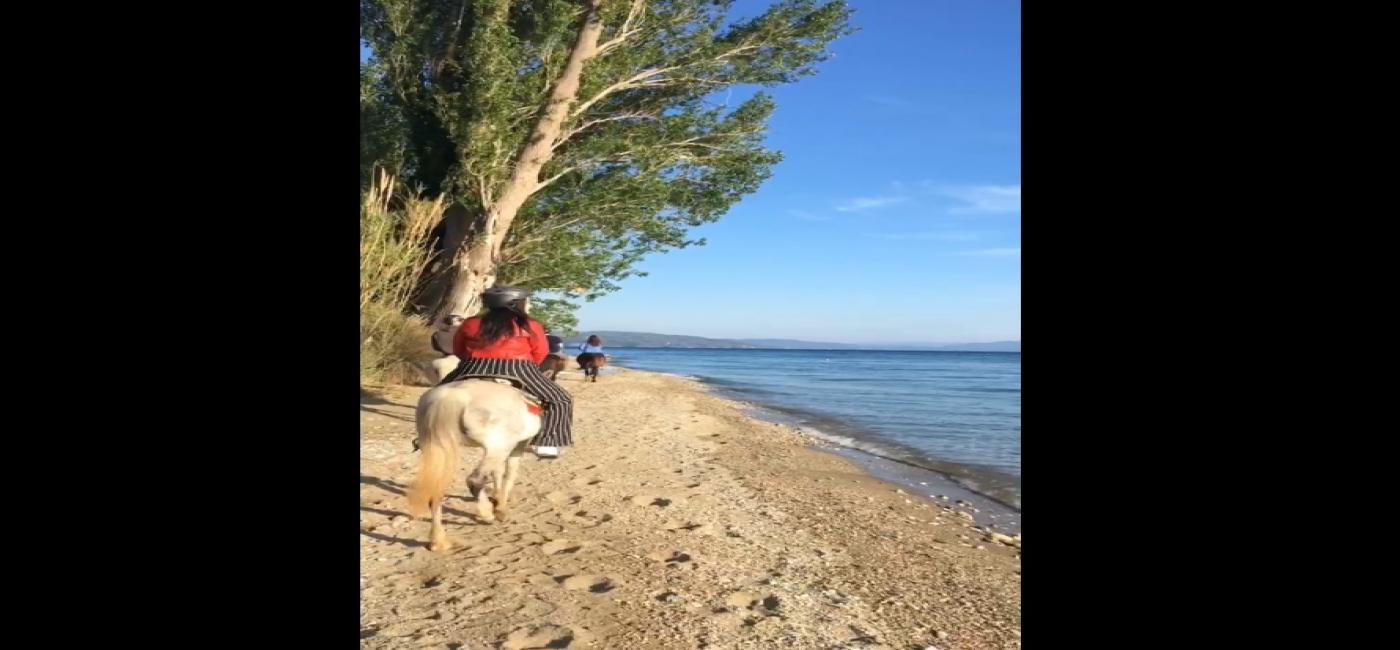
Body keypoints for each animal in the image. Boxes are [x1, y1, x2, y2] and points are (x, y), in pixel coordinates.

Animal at [406, 372, 546, 551]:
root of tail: (451, 395)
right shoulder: (517, 446)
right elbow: (509, 473)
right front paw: (500, 506)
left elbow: (497, 472)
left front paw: (497, 498)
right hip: (498, 446)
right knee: (475, 480)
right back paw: (486, 514)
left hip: (439, 449)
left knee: (436, 490)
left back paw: (439, 541)